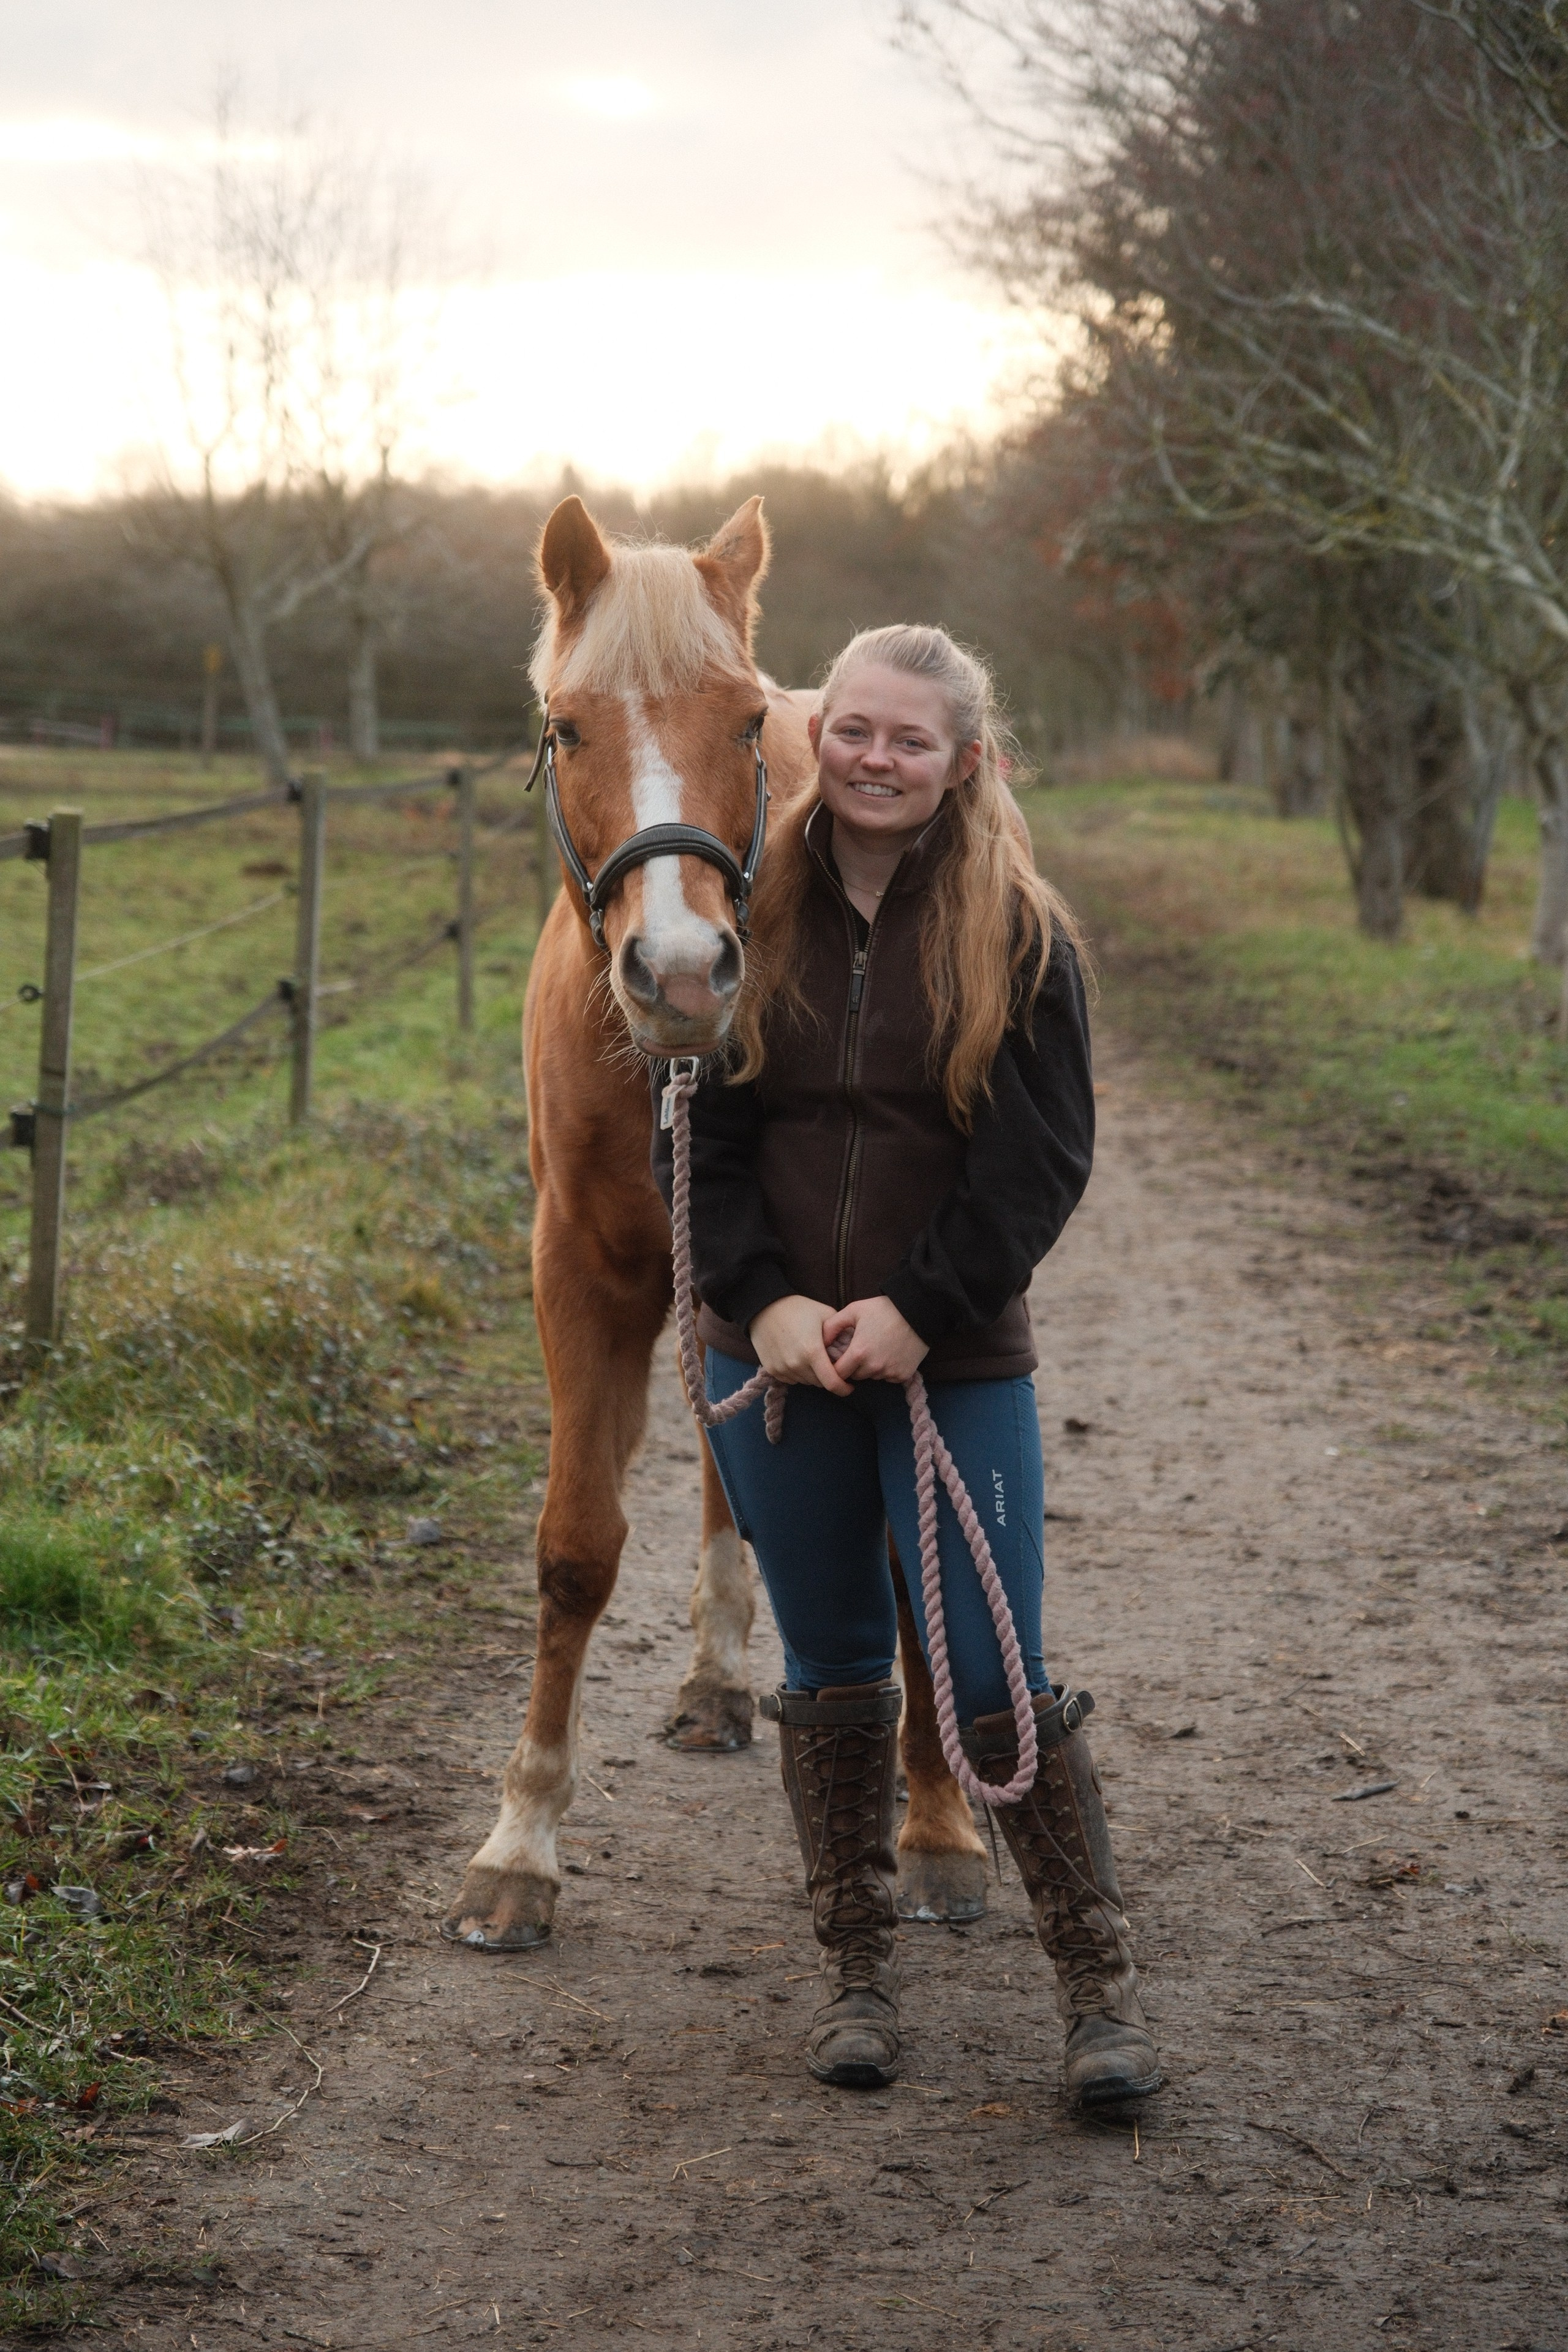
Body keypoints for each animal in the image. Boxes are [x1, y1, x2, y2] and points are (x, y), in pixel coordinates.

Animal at [443, 492, 988, 1952]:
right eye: (569, 727)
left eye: (744, 724)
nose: (684, 977)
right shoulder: (578, 1270)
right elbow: (577, 1549)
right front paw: (521, 1845)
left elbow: (907, 1538)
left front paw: (935, 1824)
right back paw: (716, 1681)